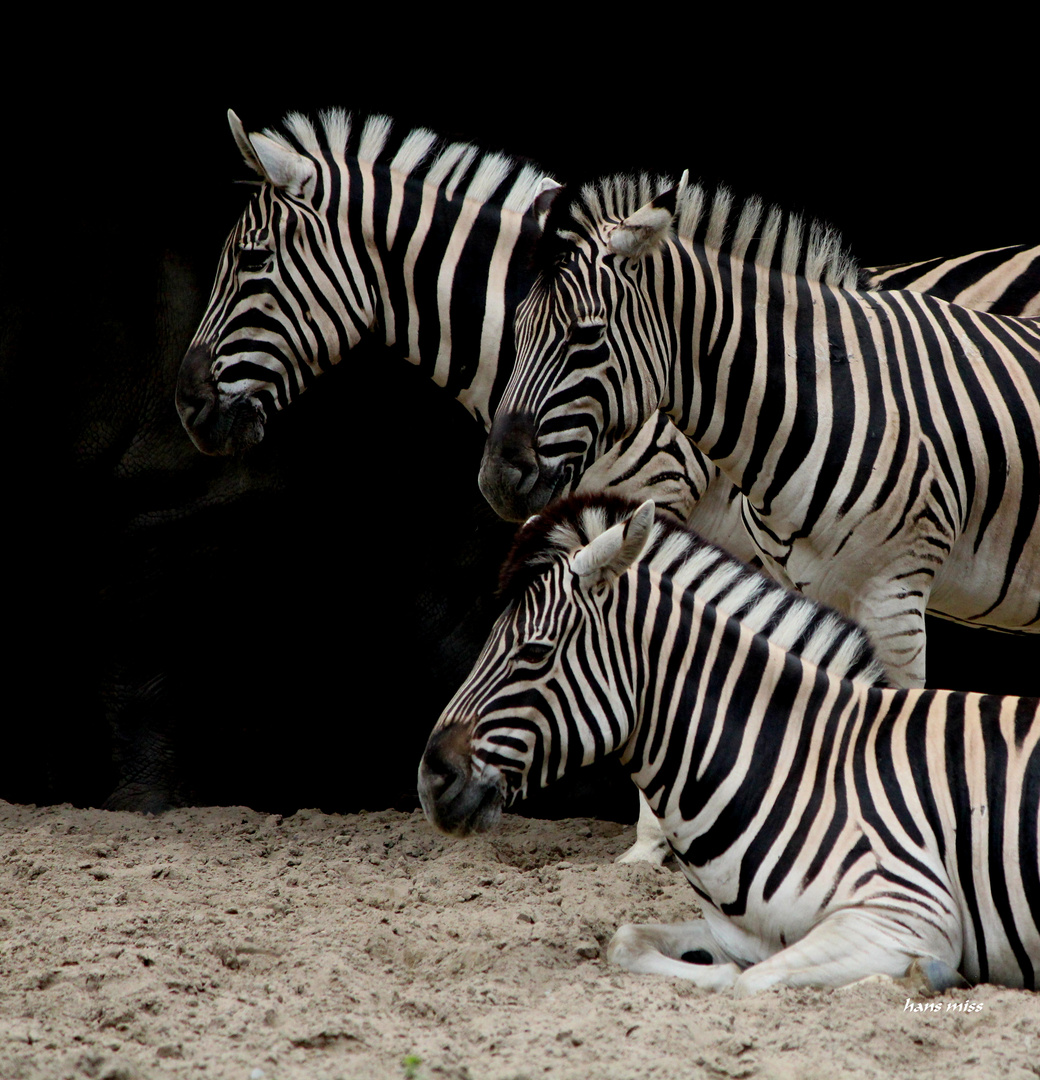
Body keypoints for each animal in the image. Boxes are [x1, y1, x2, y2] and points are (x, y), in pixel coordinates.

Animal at [418, 494, 1040, 993]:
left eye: (534, 653)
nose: (430, 780)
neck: (789, 767)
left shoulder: (908, 910)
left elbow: (754, 980)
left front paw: (923, 976)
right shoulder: (743, 931)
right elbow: (632, 940)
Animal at [479, 173, 1040, 689]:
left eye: (588, 335)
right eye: (516, 325)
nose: (496, 479)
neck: (823, 397)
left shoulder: (894, 600)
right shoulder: (804, 586)